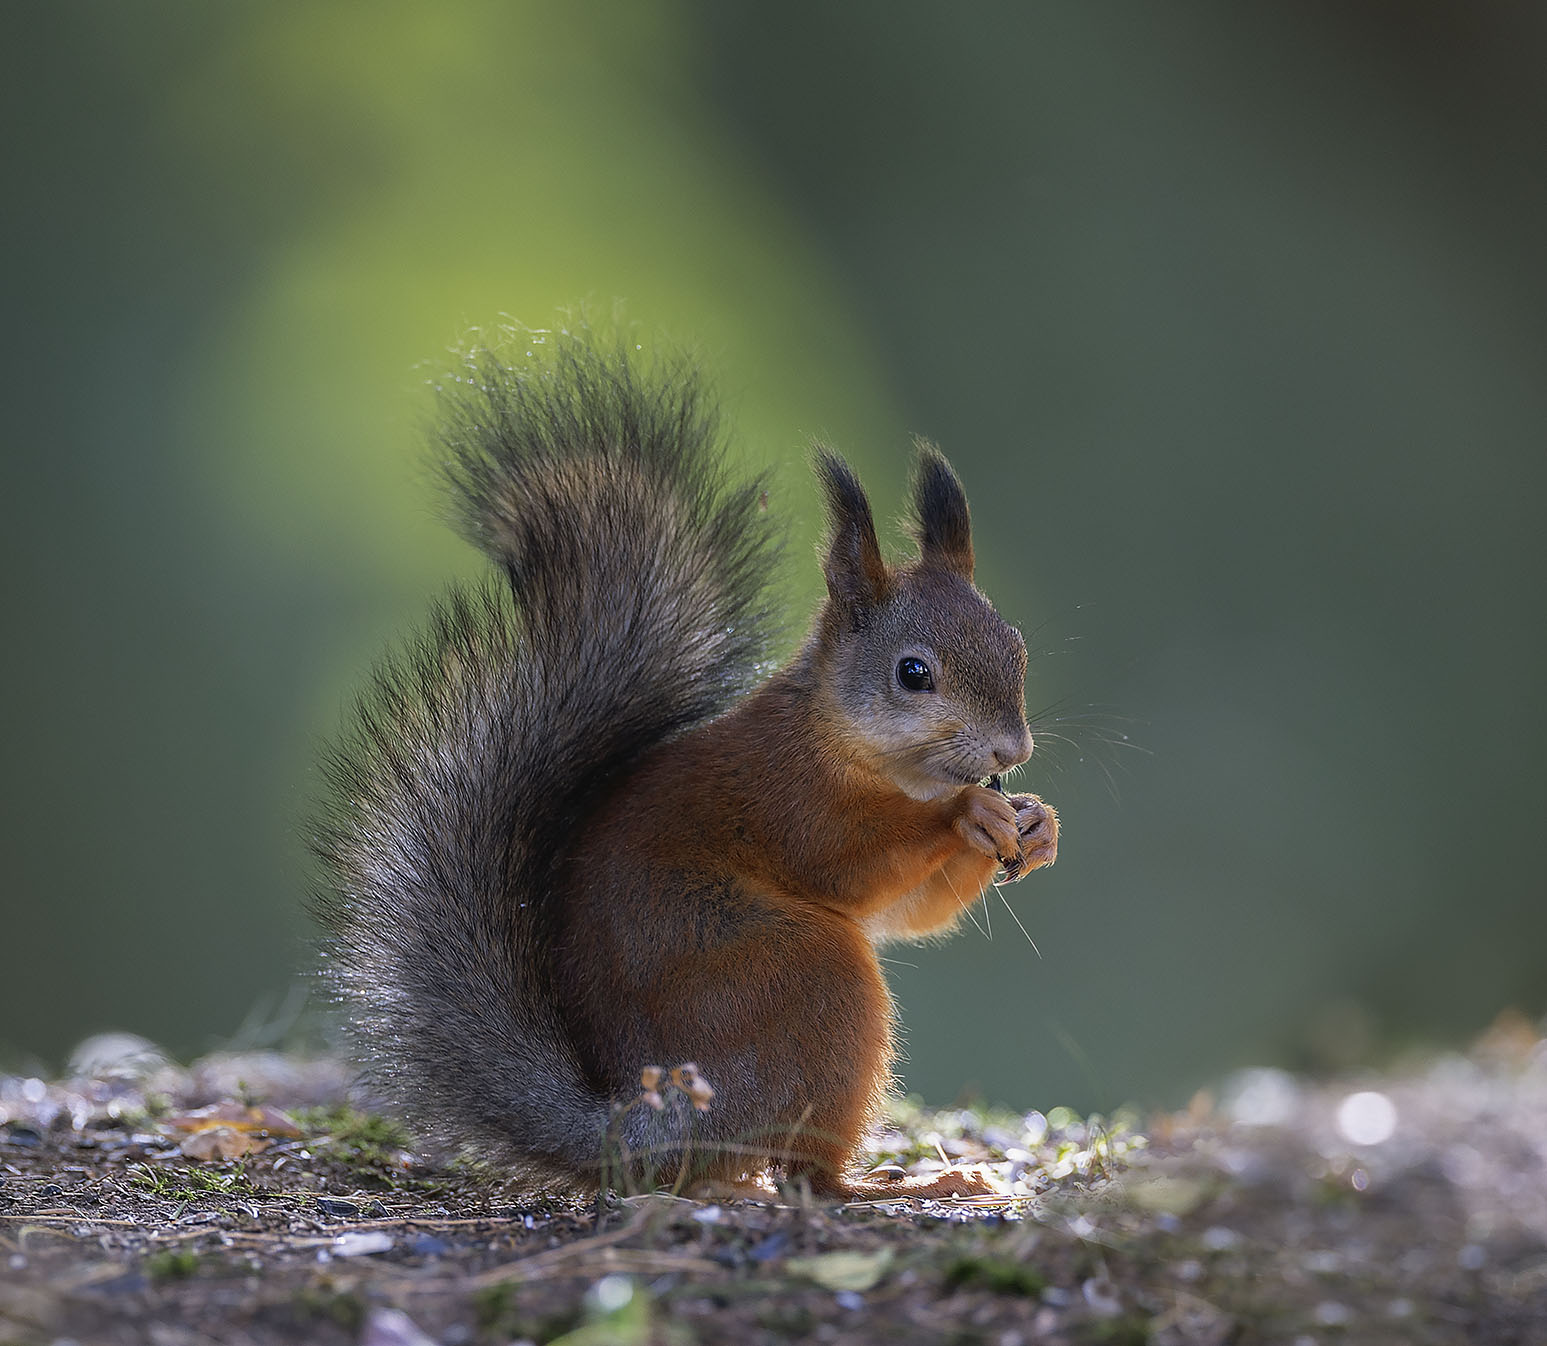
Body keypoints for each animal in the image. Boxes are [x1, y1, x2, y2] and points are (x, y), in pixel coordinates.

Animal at [314, 326, 1064, 1200]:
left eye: (1015, 649)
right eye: (914, 673)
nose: (1011, 751)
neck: (859, 752)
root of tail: (647, 1131)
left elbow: (914, 914)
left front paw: (1036, 825)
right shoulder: (786, 796)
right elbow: (849, 864)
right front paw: (968, 812)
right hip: (800, 978)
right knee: (804, 1168)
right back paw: (886, 1184)